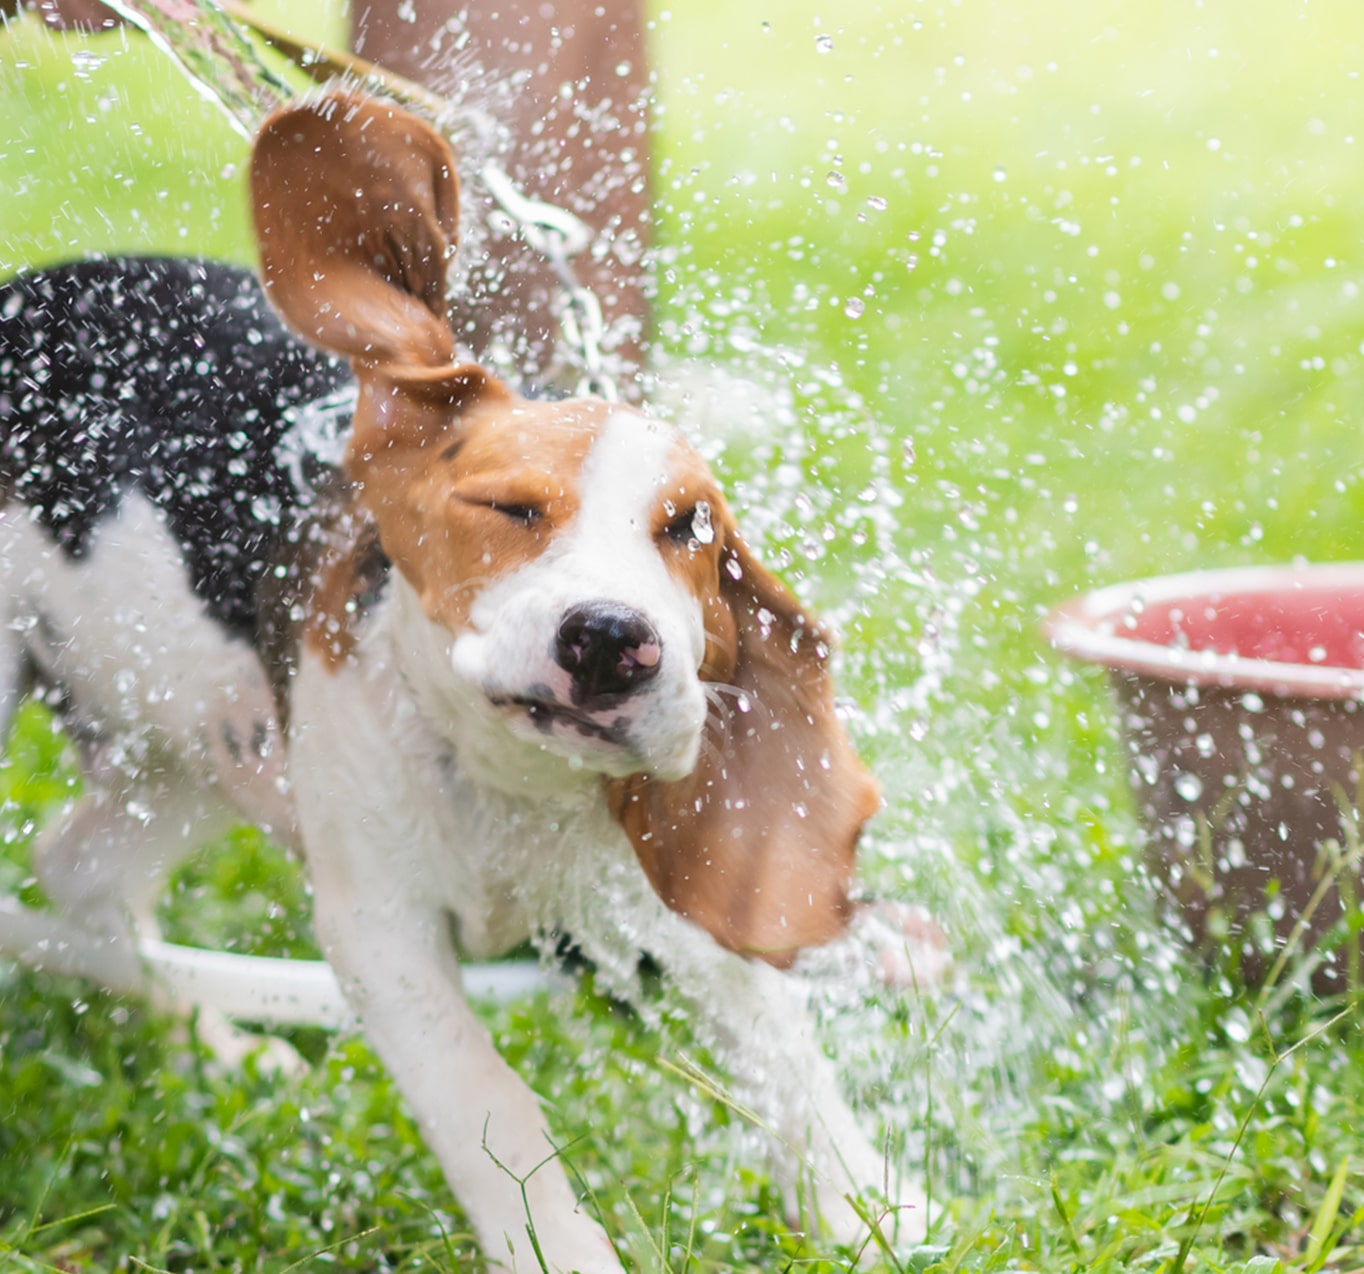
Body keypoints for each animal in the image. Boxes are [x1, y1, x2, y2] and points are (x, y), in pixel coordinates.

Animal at [0, 92, 927, 1274]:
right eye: (508, 507)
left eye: (688, 529)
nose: (613, 639)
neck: (506, 783)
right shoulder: (382, 932)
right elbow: (490, 1101)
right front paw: (561, 1250)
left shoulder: (665, 899)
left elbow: (780, 1043)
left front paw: (872, 1210)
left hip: (200, 741)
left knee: (80, 870)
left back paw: (216, 1044)